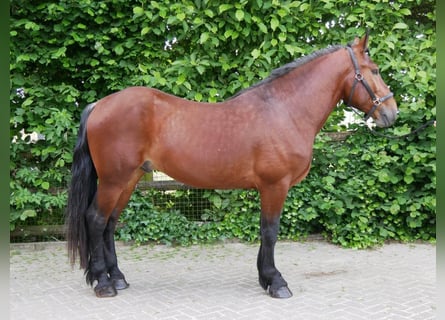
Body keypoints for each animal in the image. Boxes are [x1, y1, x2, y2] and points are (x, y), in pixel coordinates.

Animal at [65, 33, 396, 298]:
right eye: (375, 70)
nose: (392, 112)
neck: (285, 110)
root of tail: (100, 105)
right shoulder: (275, 185)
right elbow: (270, 231)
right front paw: (276, 282)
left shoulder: (268, 188)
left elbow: (264, 231)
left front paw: (265, 278)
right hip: (114, 180)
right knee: (96, 220)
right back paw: (103, 284)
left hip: (130, 179)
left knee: (110, 224)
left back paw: (117, 278)